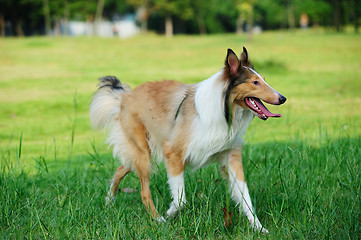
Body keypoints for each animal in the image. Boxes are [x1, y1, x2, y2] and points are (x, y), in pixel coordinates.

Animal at [89, 46, 284, 232]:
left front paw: (258, 227)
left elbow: (245, 196)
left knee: (120, 169)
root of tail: (124, 96)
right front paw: (169, 213)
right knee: (144, 192)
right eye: (255, 82)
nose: (283, 98)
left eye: (263, 79)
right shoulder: (173, 153)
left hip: (140, 153)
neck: (224, 108)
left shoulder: (231, 157)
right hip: (143, 153)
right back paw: (157, 219)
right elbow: (181, 200)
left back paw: (109, 202)